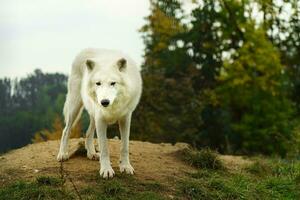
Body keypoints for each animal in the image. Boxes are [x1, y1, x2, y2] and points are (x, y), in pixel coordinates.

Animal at [56, 48, 142, 178]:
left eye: (113, 83)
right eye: (98, 83)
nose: (104, 102)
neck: (112, 107)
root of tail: (86, 49)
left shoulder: (125, 118)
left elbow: (125, 146)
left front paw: (126, 167)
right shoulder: (101, 119)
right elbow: (104, 148)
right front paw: (106, 170)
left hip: (92, 114)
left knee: (88, 133)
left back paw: (92, 153)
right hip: (75, 107)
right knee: (66, 130)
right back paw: (63, 154)